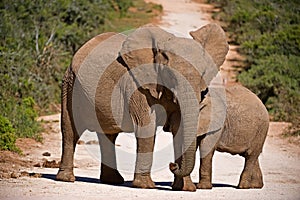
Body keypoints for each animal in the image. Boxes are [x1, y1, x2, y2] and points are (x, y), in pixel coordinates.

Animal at [56, 23, 229, 191]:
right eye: (171, 75)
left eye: (203, 75)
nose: (172, 165)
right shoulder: (137, 85)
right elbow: (146, 127)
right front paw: (145, 186)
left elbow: (179, 129)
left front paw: (186, 188)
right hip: (69, 84)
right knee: (70, 129)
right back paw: (66, 179)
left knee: (108, 134)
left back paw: (112, 181)